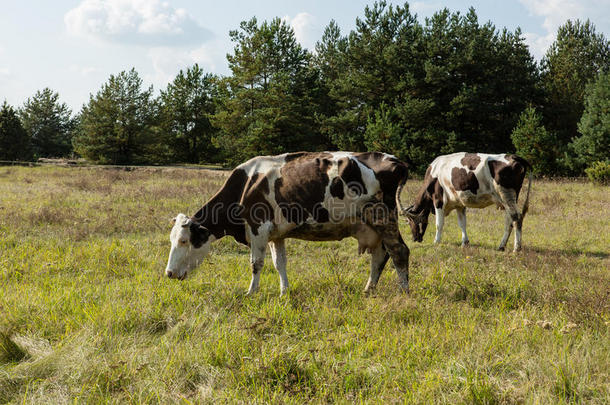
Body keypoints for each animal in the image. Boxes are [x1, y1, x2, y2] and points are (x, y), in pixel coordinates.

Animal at [164, 151, 408, 294]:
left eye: (184, 241)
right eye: (172, 240)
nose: (168, 273)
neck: (246, 186)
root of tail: (396, 161)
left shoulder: (258, 228)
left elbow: (256, 263)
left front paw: (251, 292)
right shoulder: (276, 234)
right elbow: (279, 263)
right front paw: (284, 292)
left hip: (384, 217)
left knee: (399, 252)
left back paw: (403, 292)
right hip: (372, 226)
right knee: (380, 256)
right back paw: (369, 290)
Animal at [396, 153, 528, 251]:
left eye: (411, 222)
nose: (415, 239)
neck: (433, 173)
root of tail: (513, 156)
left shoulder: (438, 200)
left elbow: (439, 224)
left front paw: (436, 241)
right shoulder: (460, 204)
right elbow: (462, 223)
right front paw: (465, 242)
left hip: (506, 195)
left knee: (517, 217)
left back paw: (516, 248)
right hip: (509, 199)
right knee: (509, 220)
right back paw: (502, 246)